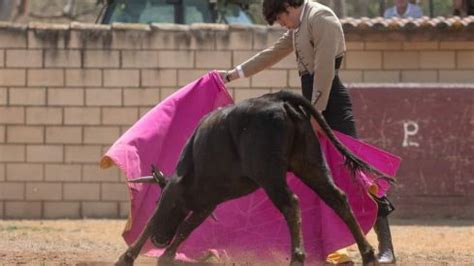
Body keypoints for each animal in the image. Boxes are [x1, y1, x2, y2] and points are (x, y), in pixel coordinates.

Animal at [115, 90, 392, 264]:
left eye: (157, 198)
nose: (160, 240)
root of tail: (278, 98)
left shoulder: (175, 192)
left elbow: (155, 220)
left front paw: (126, 258)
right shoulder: (207, 204)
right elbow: (186, 227)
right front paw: (165, 257)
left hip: (270, 174)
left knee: (291, 203)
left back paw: (297, 257)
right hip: (310, 163)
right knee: (338, 198)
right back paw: (368, 255)